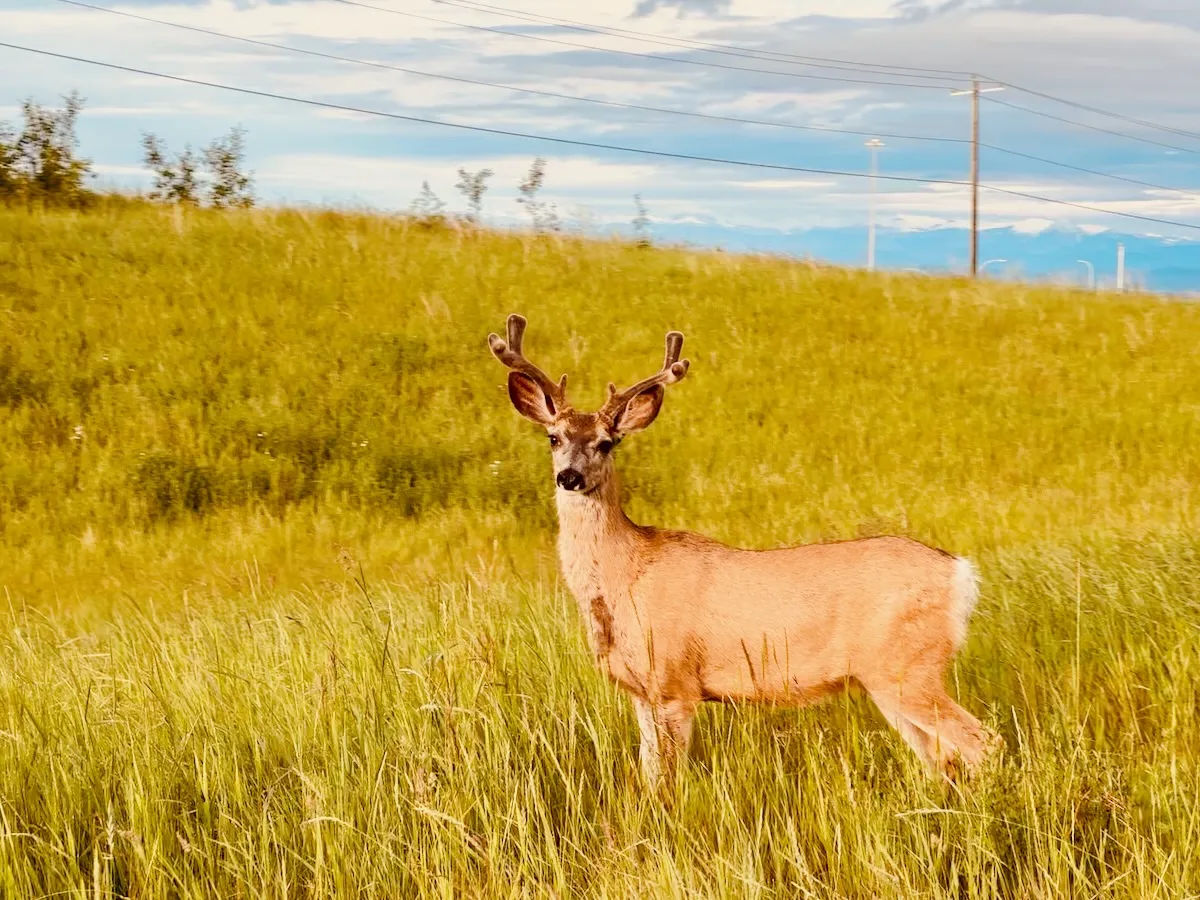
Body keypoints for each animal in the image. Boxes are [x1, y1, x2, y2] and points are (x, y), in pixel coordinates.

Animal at [482, 312, 998, 787]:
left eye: (607, 443)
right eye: (553, 437)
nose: (569, 476)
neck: (624, 575)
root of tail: (960, 573)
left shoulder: (674, 683)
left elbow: (669, 781)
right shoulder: (640, 691)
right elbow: (649, 774)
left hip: (908, 664)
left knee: (982, 741)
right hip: (892, 676)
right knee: (943, 759)